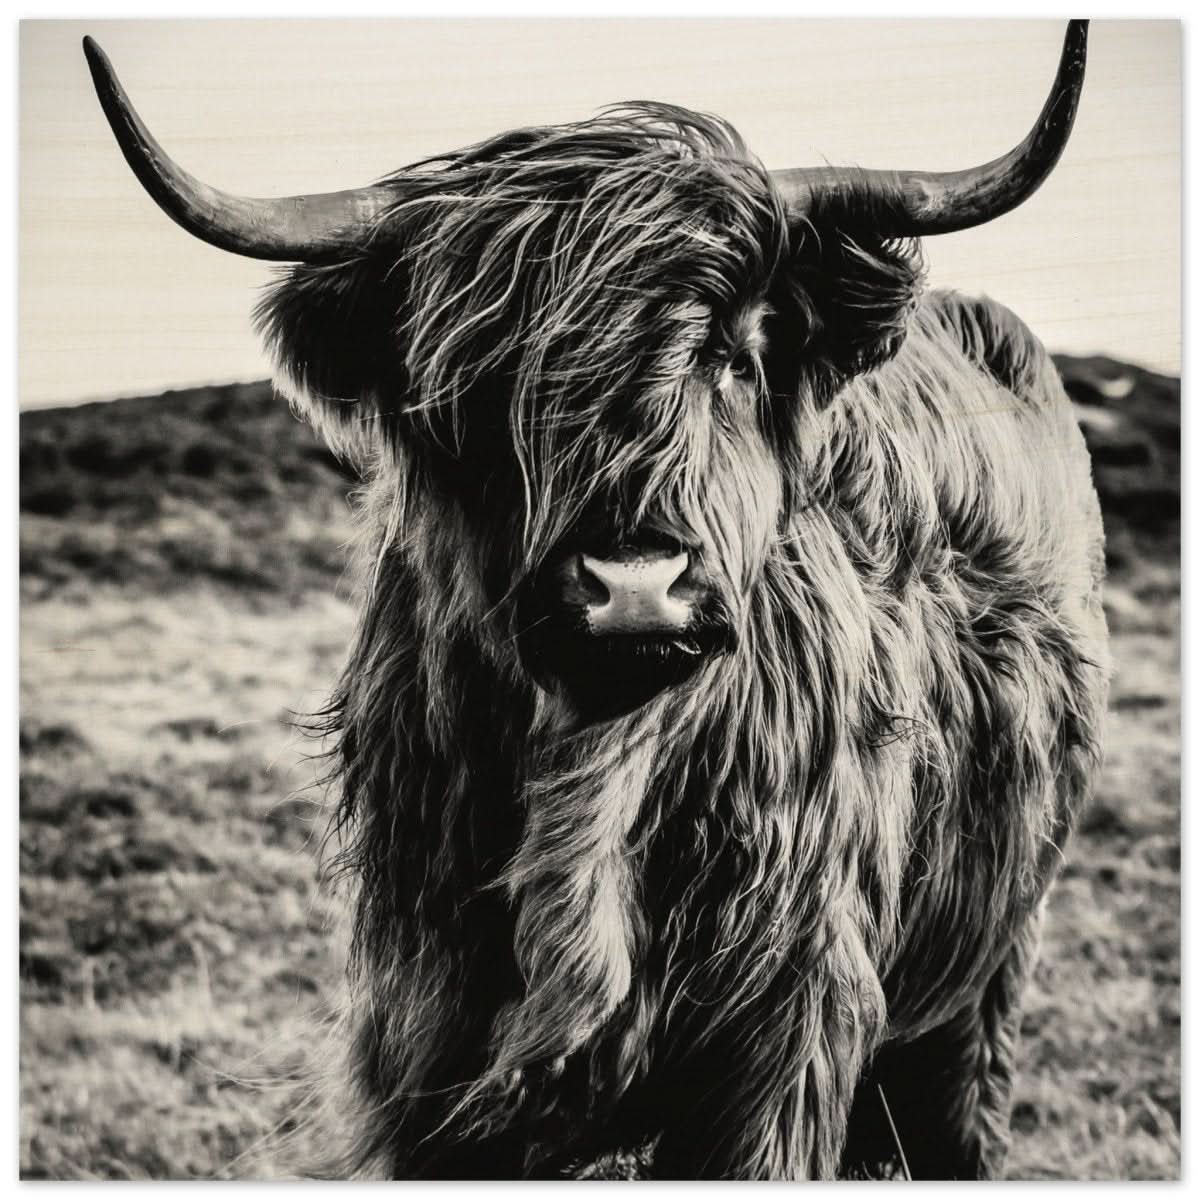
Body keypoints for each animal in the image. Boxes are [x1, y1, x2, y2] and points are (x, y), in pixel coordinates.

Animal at [84, 21, 1108, 1180]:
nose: (635, 588)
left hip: (988, 974)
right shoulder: (430, 1042)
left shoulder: (782, 1041)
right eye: (480, 385)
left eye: (733, 354)